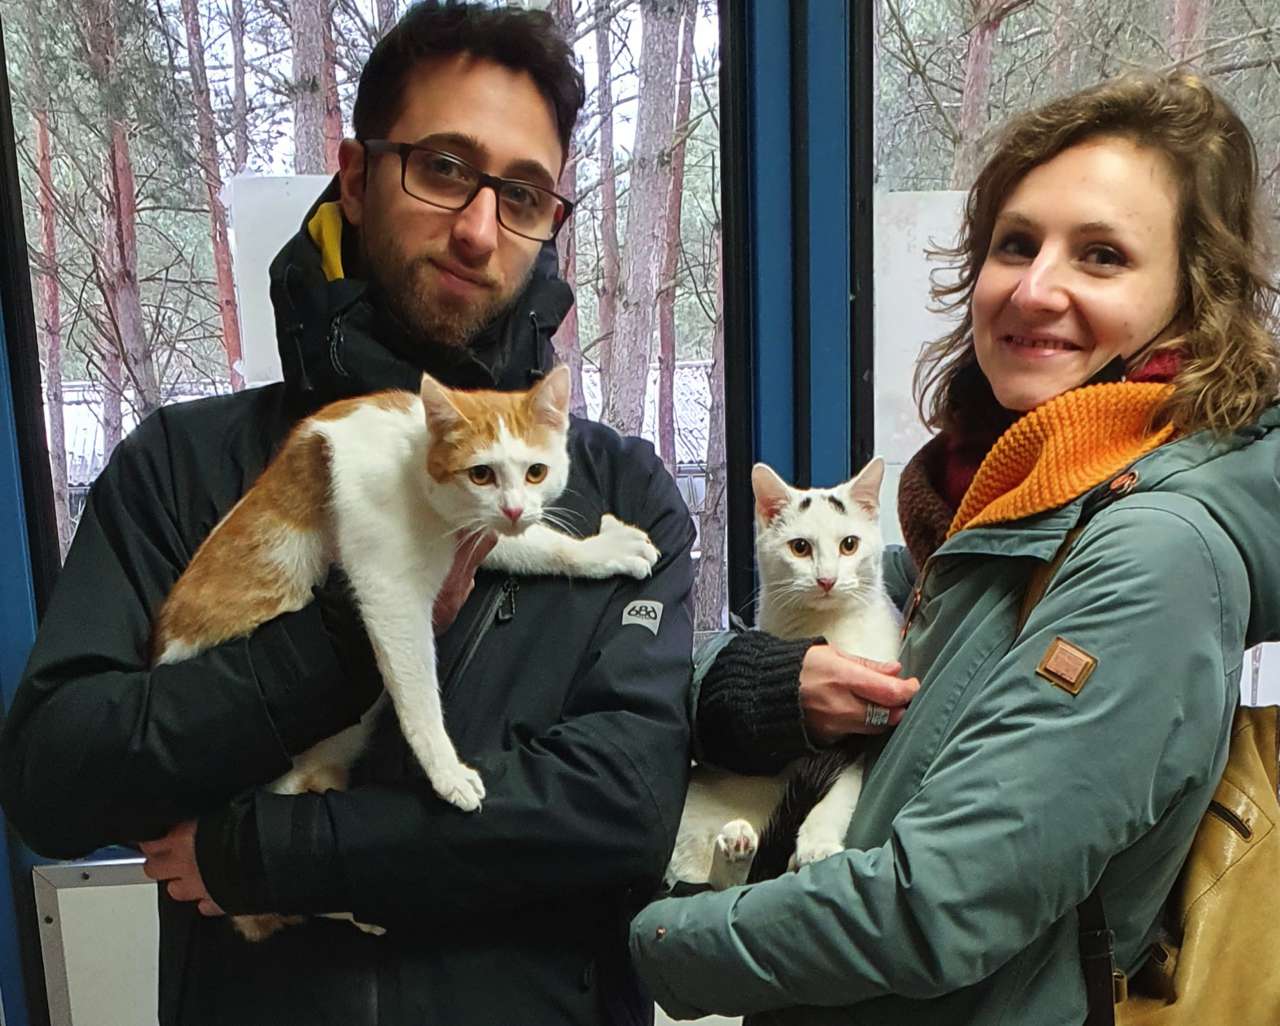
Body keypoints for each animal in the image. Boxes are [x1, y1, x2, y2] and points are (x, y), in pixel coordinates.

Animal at [151, 365, 660, 939]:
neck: (412, 459)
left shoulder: (470, 536)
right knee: (278, 895)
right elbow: (418, 693)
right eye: (480, 474)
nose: (512, 508)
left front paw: (602, 550)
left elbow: (539, 545)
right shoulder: (389, 589)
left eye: (535, 472)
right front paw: (447, 772)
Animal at [666, 457, 901, 891]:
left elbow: (840, 790)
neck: (827, 628)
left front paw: (817, 843)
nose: (826, 579)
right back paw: (735, 846)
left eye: (849, 544)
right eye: (800, 547)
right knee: (722, 886)